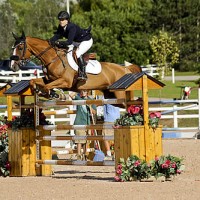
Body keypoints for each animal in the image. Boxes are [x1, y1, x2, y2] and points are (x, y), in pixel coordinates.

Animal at [10, 31, 141, 101]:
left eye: (20, 47)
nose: (12, 66)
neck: (53, 59)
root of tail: (125, 68)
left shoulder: (65, 82)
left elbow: (47, 87)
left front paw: (54, 95)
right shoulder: (49, 79)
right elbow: (33, 81)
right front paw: (39, 91)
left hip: (119, 92)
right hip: (109, 92)